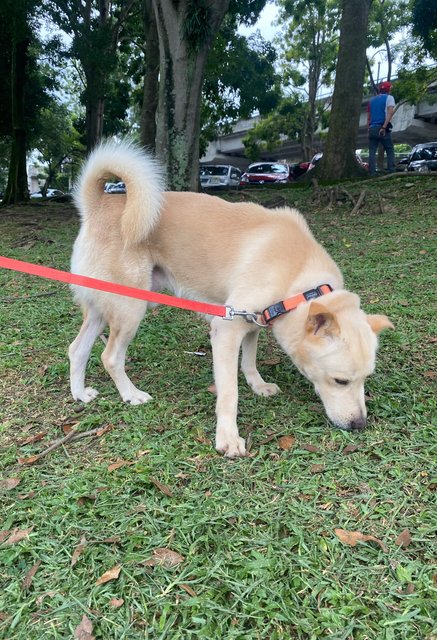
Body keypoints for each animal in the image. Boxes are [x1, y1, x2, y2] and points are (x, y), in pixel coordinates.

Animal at [70, 142, 394, 458]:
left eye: (366, 377)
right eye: (341, 381)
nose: (359, 425)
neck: (300, 284)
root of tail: (98, 206)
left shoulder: (252, 322)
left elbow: (249, 361)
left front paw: (257, 385)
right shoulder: (226, 329)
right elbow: (229, 394)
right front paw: (227, 438)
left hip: (106, 308)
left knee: (77, 349)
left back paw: (80, 393)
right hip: (131, 308)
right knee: (110, 357)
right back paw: (131, 394)